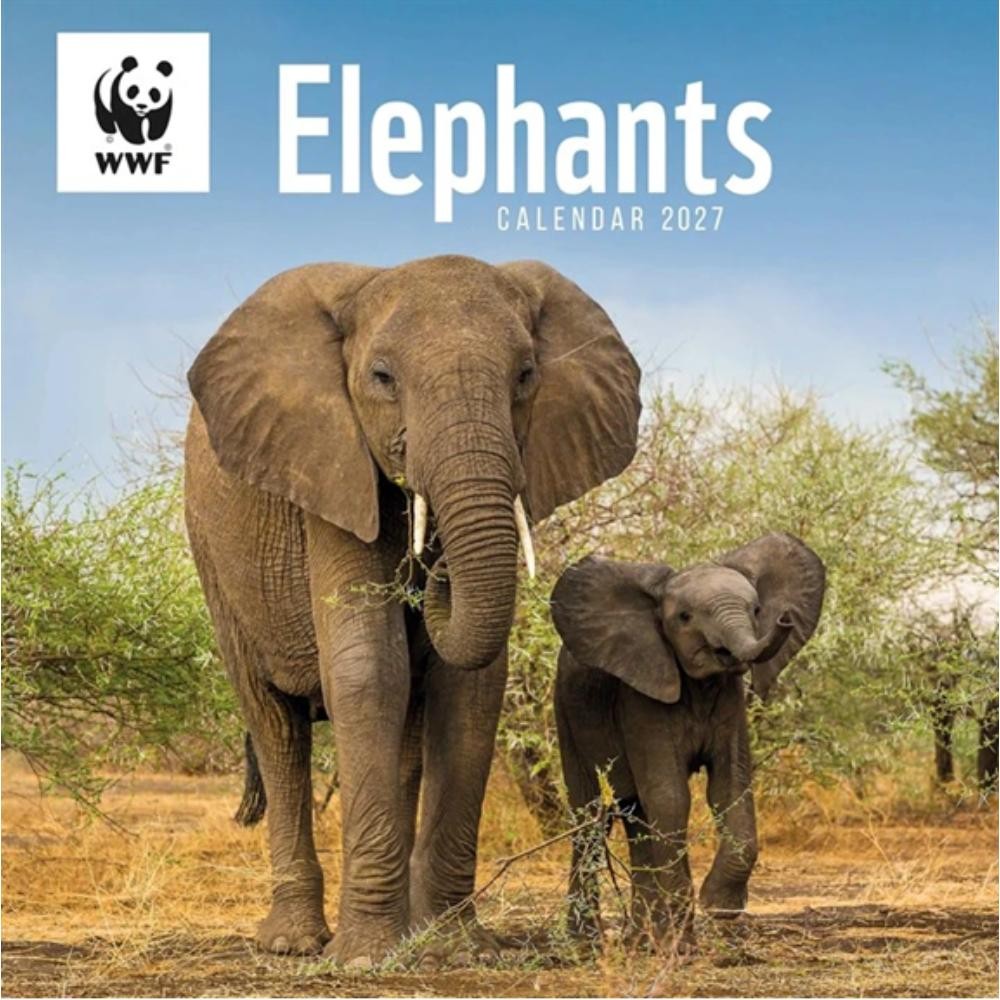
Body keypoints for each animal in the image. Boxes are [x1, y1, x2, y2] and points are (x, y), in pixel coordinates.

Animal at [183, 255, 641, 965]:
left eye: (525, 376)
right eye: (382, 378)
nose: (430, 576)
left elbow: (470, 688)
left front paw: (454, 950)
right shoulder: (330, 468)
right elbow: (370, 668)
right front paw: (366, 958)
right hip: (216, 566)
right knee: (276, 726)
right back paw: (294, 942)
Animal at [550, 533, 825, 949]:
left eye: (757, 609)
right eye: (684, 618)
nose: (784, 619)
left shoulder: (731, 700)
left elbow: (730, 789)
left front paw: (717, 909)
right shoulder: (641, 698)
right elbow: (671, 796)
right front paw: (682, 936)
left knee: (635, 815)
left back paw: (640, 942)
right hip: (565, 713)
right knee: (590, 816)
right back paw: (588, 945)